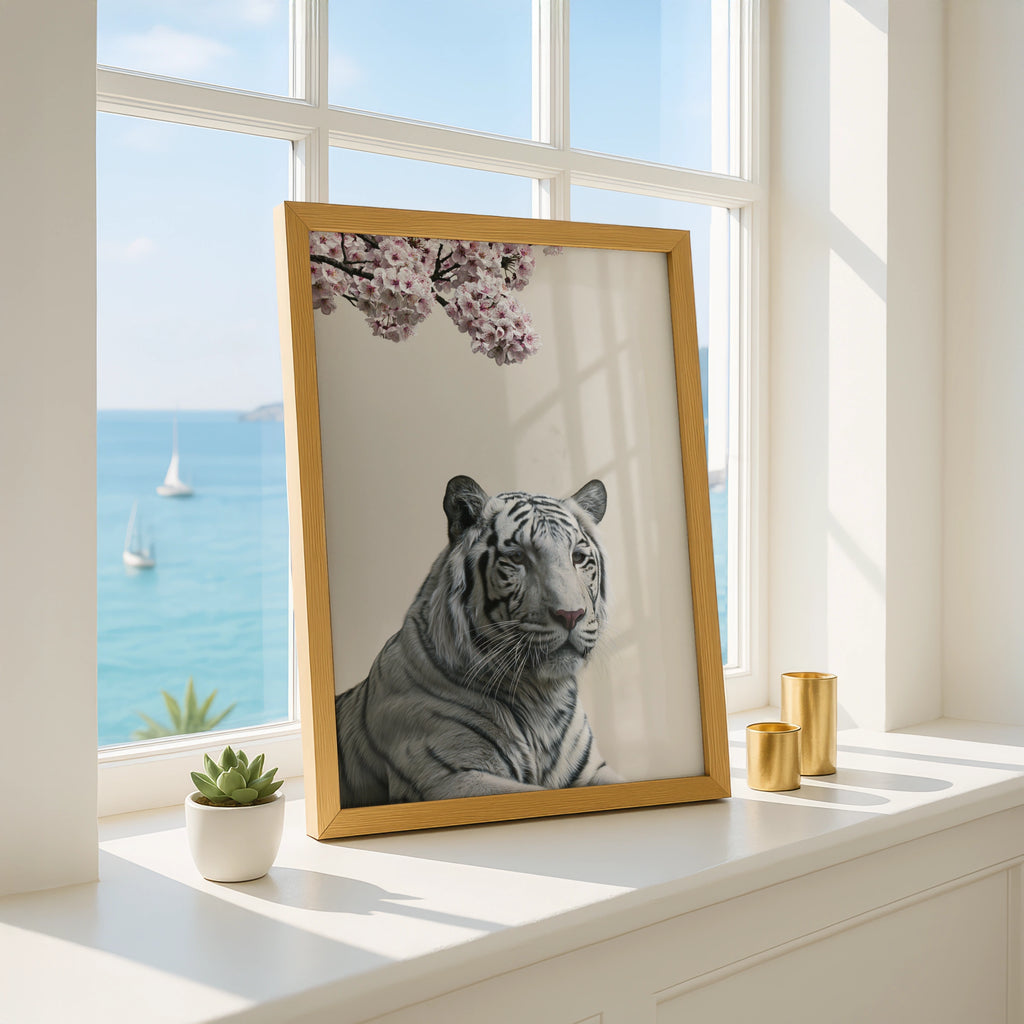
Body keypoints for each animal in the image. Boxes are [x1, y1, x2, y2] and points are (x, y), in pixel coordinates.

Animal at [335, 474, 623, 807]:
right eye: (517, 557)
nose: (571, 615)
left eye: (578, 557)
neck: (541, 698)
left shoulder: (591, 771)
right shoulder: (450, 779)